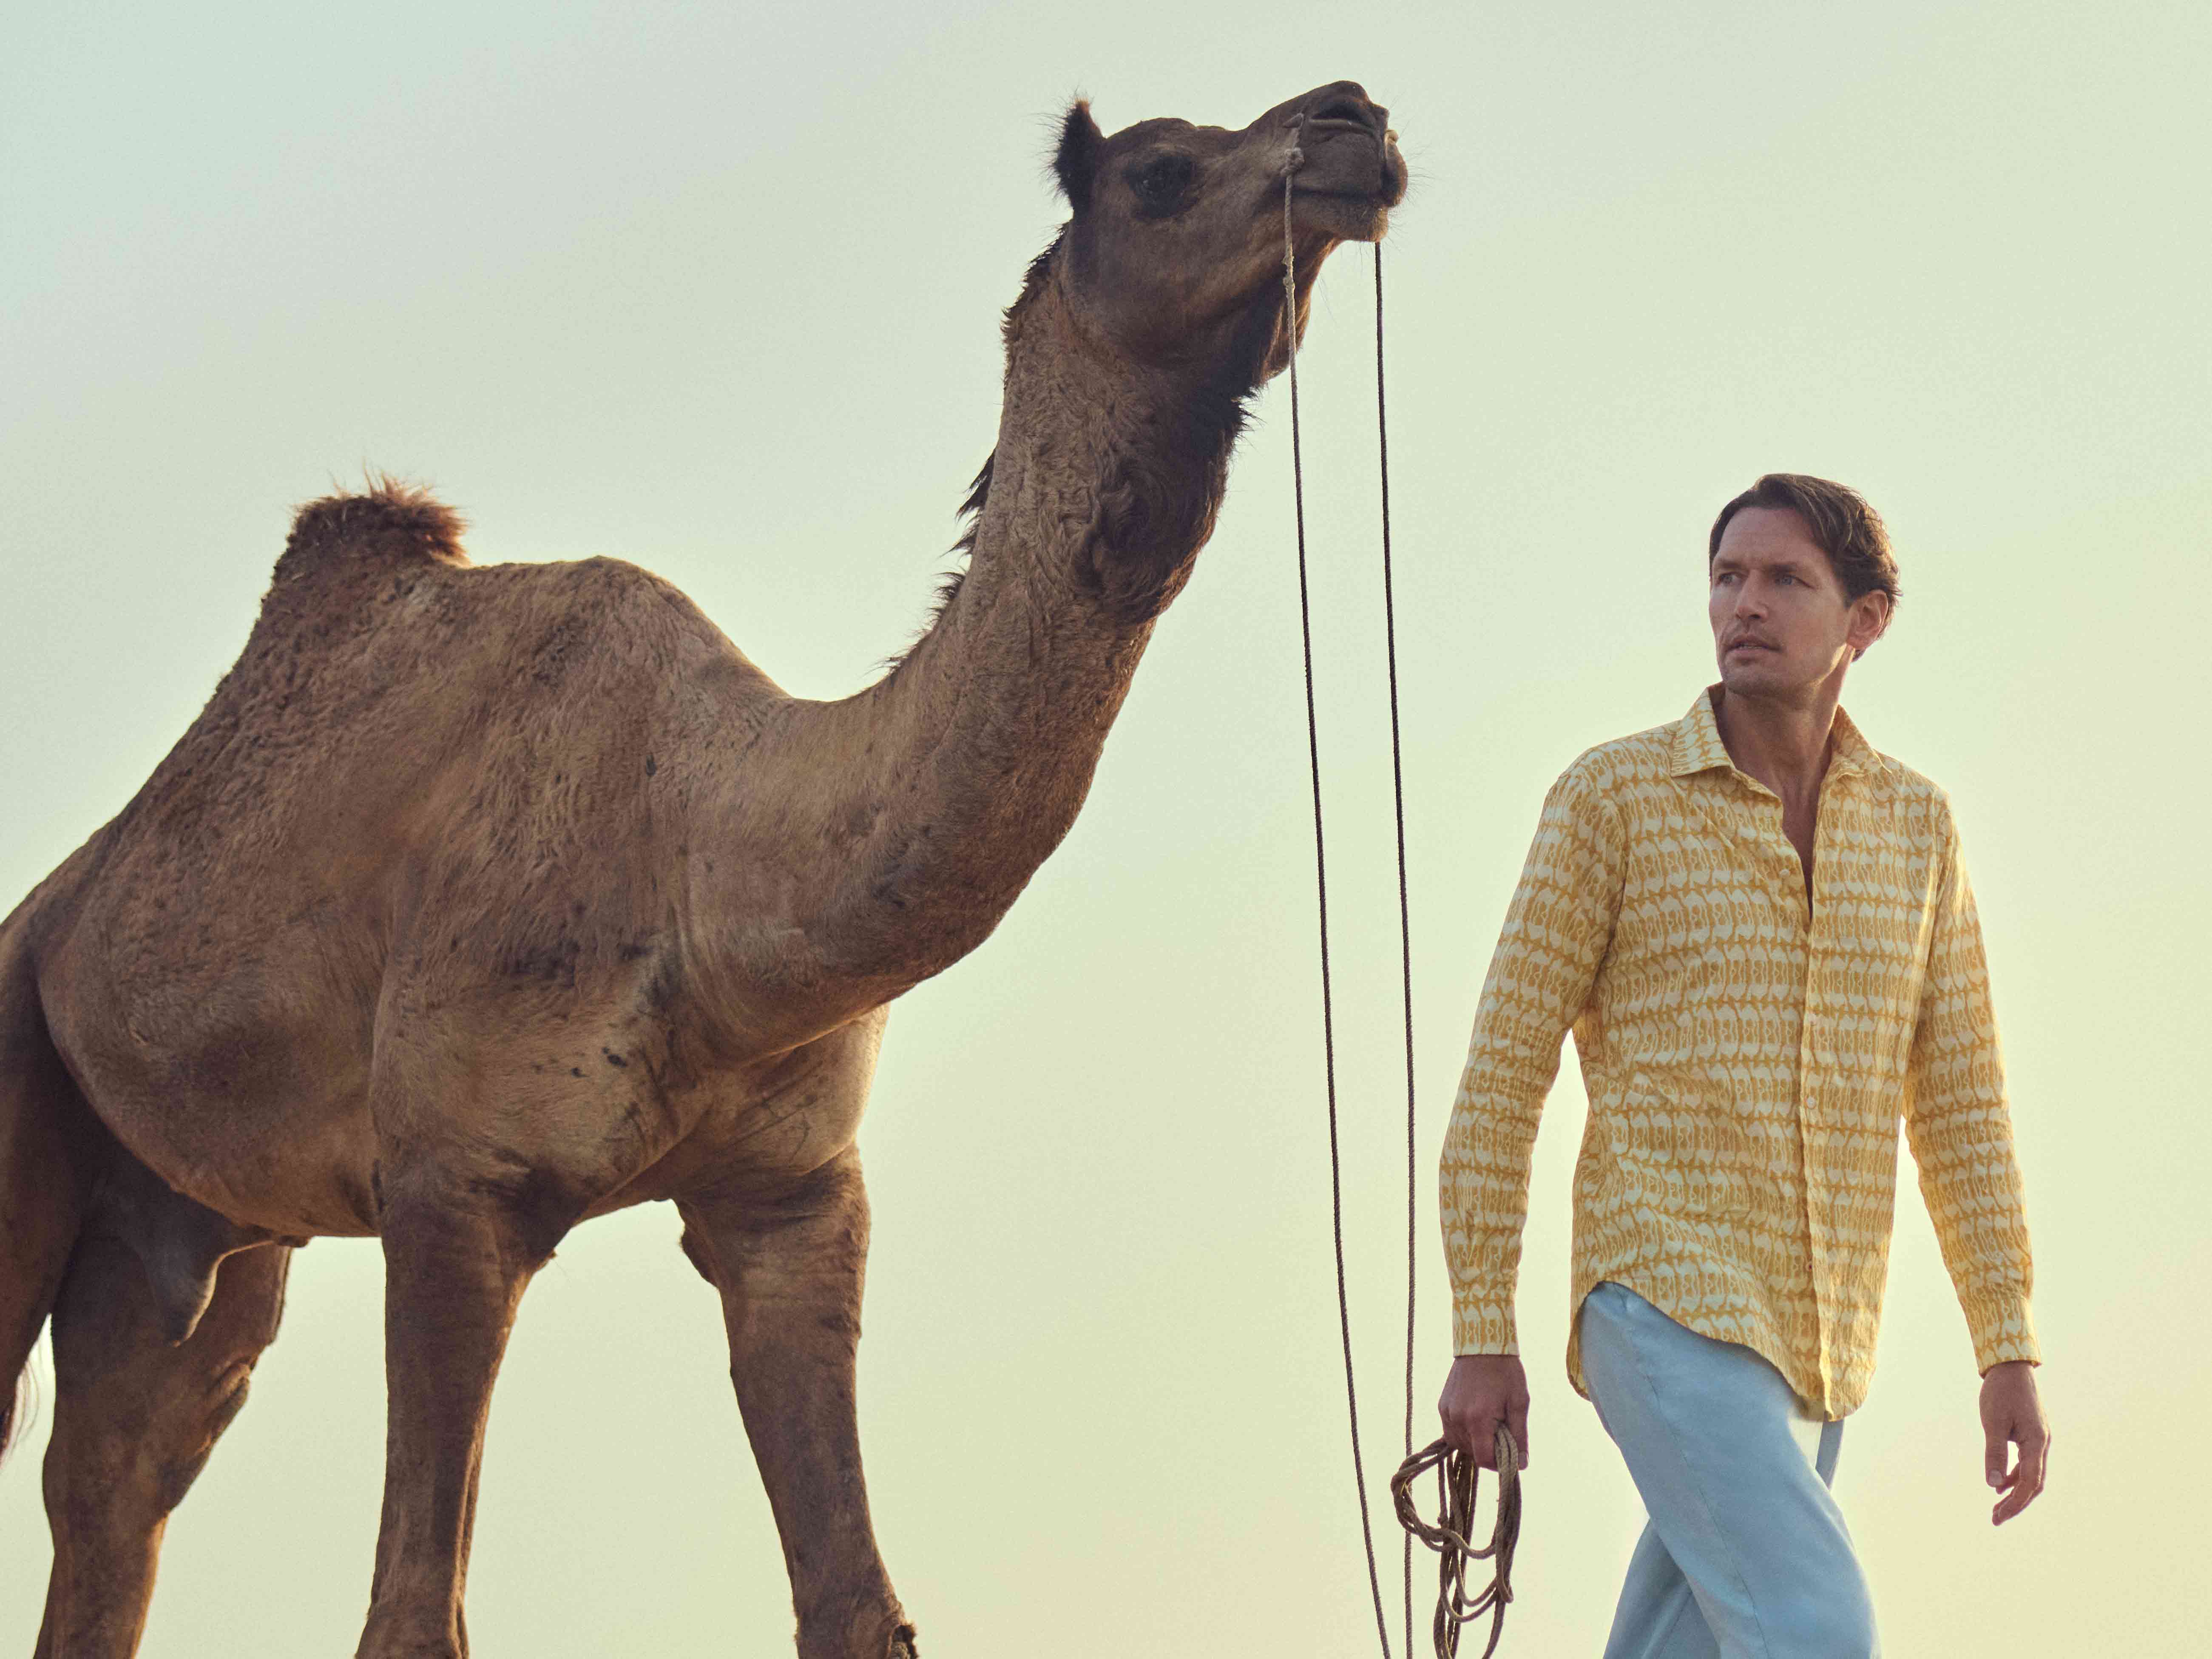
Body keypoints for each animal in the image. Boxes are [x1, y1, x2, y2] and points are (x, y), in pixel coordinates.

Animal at [0, 83, 1404, 1657]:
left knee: (123, 1469)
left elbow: (855, 1603)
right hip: (22, 1045)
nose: (1353, 121)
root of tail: (56, 902)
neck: (716, 880)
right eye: (1162, 171)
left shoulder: (790, 1194)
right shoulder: (450, 1185)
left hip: (201, 1220)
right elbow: (413, 1612)